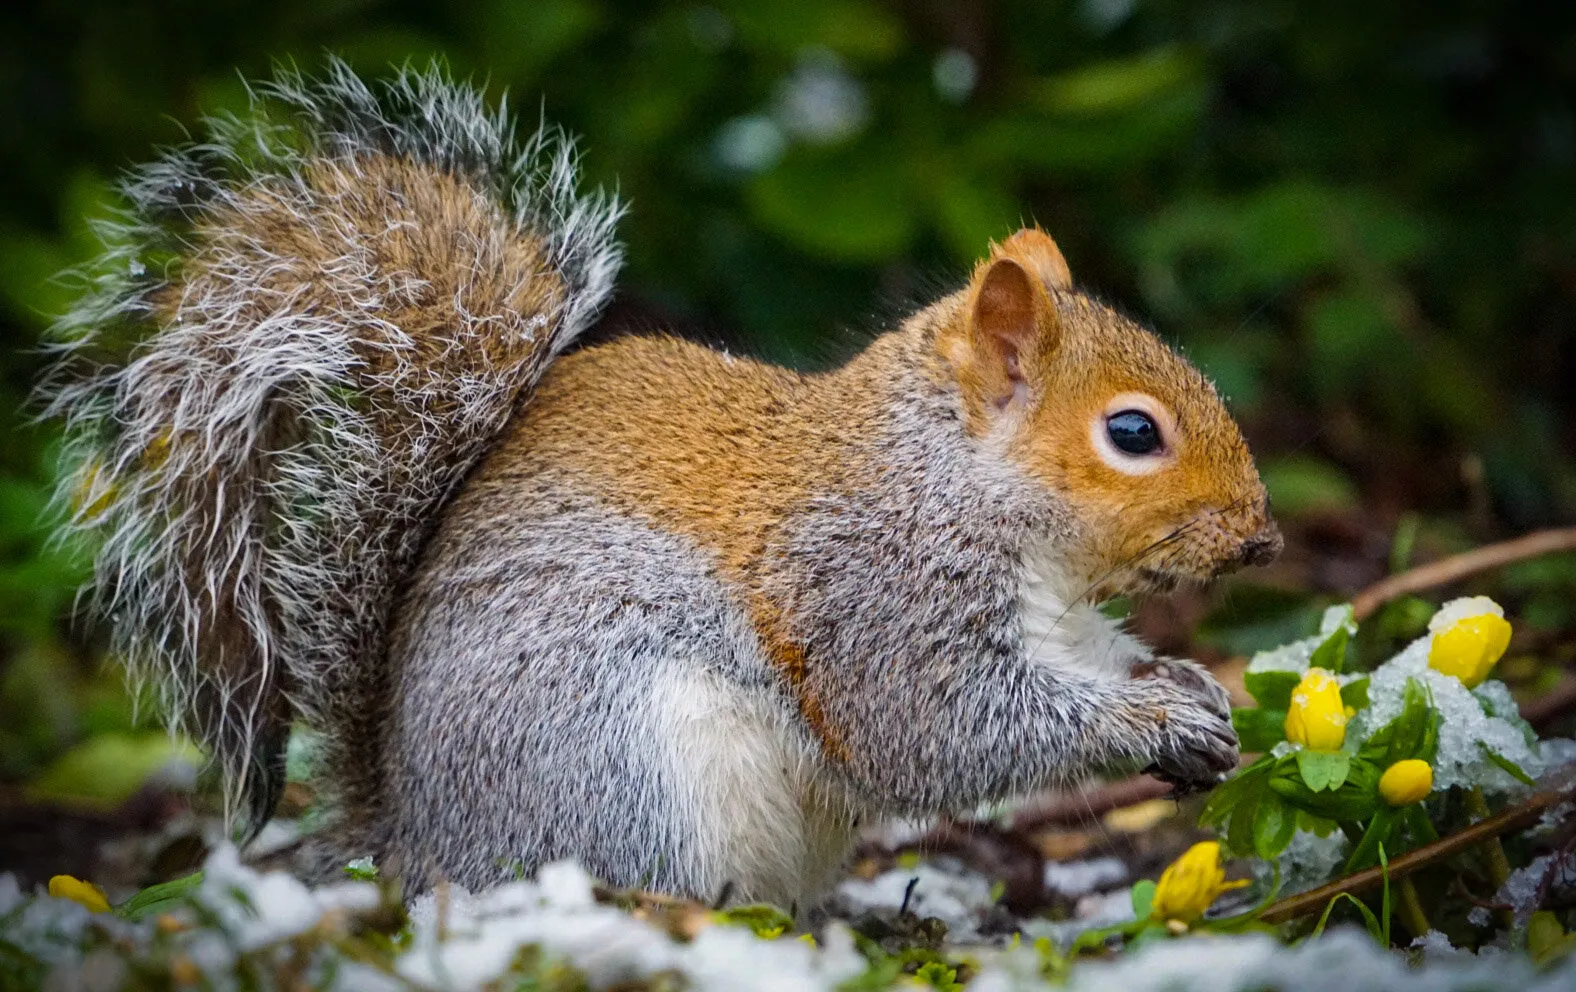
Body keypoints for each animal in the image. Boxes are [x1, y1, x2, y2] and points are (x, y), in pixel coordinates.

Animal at [45, 59, 1280, 906]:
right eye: (1132, 432)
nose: (1262, 540)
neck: (953, 477)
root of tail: (416, 844)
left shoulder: (1056, 619)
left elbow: (1088, 664)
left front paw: (1188, 690)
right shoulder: (870, 589)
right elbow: (939, 728)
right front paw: (1150, 718)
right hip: (628, 769)